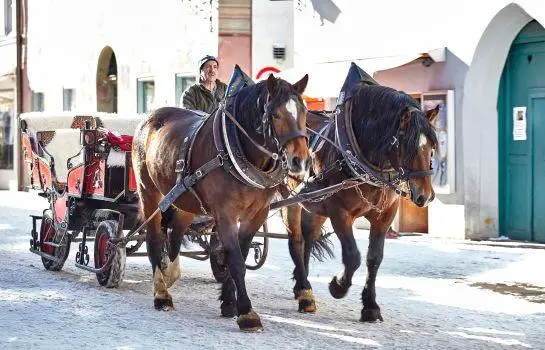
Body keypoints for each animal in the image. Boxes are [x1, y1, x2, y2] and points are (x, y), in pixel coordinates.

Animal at [132, 73, 308, 330]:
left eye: (304, 111)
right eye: (275, 114)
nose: (299, 161)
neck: (238, 151)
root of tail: (149, 118)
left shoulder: (257, 214)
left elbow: (240, 255)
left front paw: (229, 301)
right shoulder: (225, 214)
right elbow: (235, 260)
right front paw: (247, 312)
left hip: (185, 199)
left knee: (175, 236)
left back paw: (169, 272)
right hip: (149, 192)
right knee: (154, 239)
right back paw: (161, 293)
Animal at [280, 83, 438, 322]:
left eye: (432, 147)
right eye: (408, 146)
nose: (425, 195)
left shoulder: (385, 215)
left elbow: (374, 258)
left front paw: (370, 306)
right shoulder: (339, 212)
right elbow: (353, 256)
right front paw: (338, 286)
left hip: (314, 206)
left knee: (308, 238)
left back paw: (302, 288)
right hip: (289, 199)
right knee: (296, 241)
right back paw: (305, 292)